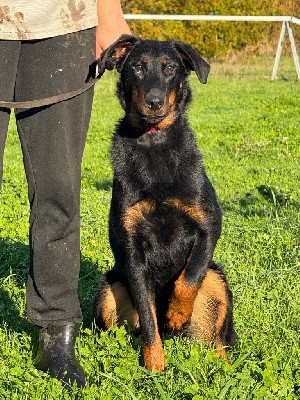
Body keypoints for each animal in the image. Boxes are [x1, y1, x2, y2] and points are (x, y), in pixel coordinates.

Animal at [94, 35, 237, 372]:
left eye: (171, 68)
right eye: (137, 66)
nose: (155, 101)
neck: (154, 142)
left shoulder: (209, 224)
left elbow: (189, 277)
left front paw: (176, 314)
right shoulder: (131, 249)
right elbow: (148, 319)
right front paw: (155, 364)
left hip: (218, 281)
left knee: (218, 339)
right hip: (107, 289)